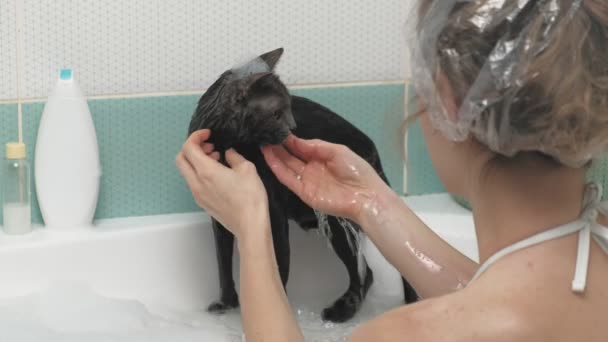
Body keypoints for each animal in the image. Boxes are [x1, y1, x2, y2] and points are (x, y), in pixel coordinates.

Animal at [190, 48, 418, 324]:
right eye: (277, 113)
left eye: (290, 108)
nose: (293, 128)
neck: (229, 144)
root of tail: (371, 149)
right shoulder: (219, 219)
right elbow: (222, 263)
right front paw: (226, 304)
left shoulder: (273, 214)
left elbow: (279, 268)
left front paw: (278, 308)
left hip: (337, 223)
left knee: (364, 273)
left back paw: (342, 311)